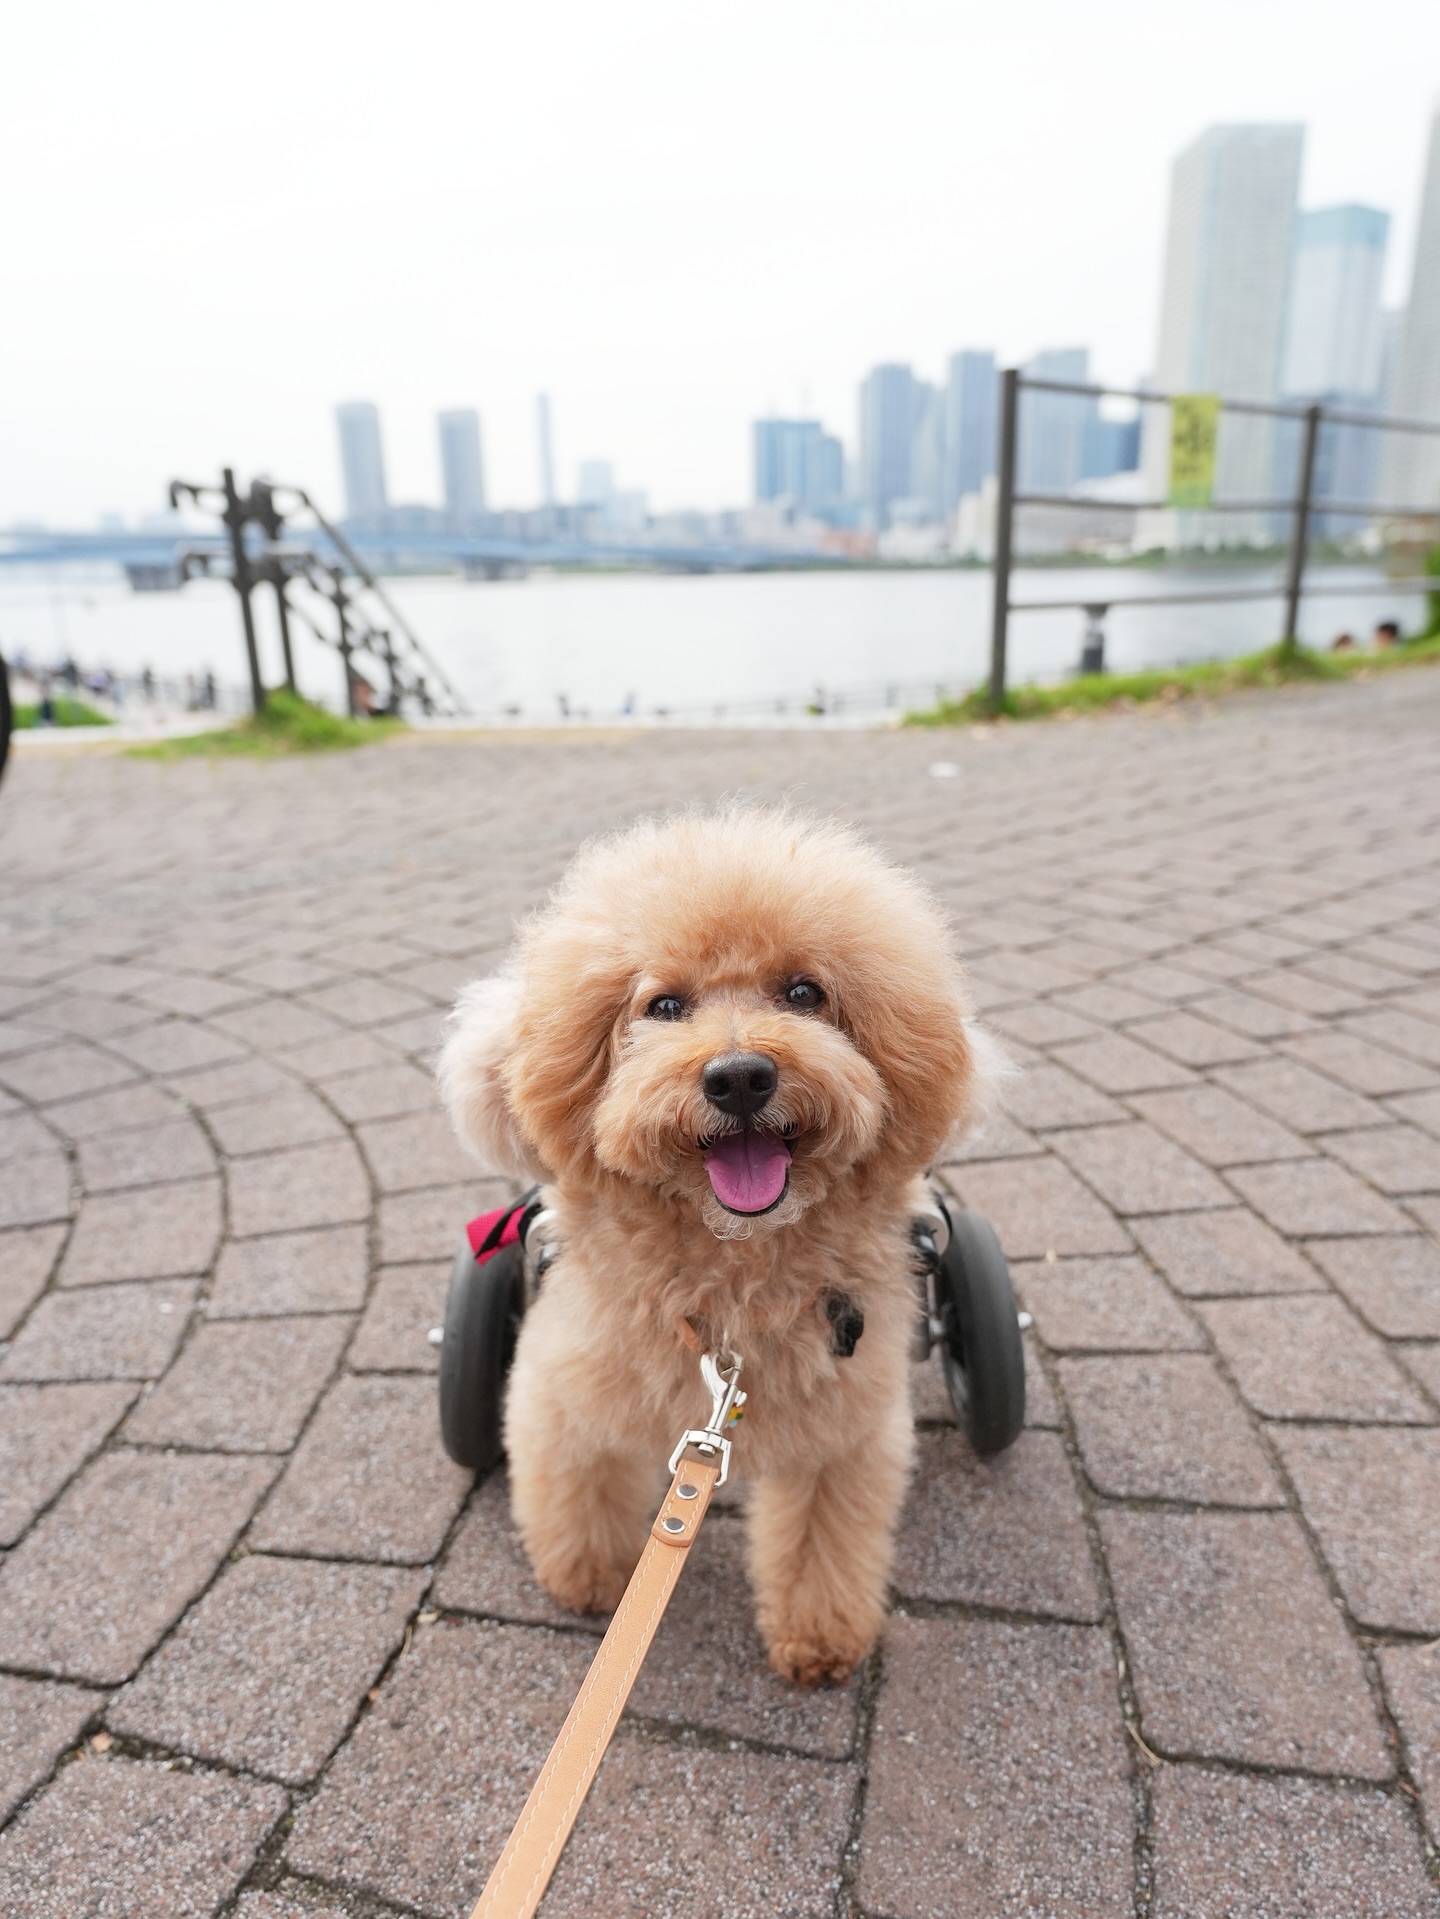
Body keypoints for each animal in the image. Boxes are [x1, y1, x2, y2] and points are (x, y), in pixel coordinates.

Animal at [438, 806, 998, 1685]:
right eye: (665, 1005)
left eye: (804, 992)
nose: (738, 1076)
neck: (735, 1272)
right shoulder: (565, 1390)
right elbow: (575, 1485)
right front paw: (586, 1577)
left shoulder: (845, 1432)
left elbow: (823, 1538)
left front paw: (818, 1635)